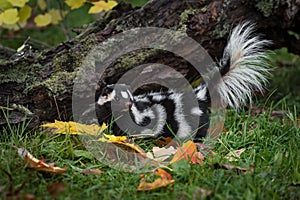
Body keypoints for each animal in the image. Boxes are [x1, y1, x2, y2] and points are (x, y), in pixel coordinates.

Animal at [95, 21, 270, 138]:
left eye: (130, 99)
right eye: (117, 98)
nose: (129, 105)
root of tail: (198, 94)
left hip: (189, 117)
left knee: (199, 127)